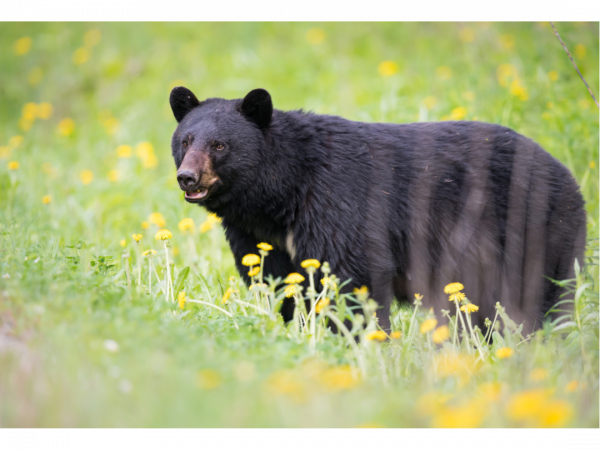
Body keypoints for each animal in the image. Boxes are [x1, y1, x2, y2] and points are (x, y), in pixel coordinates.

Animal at [169, 87, 584, 330]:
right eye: (186, 140)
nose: (187, 177)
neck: (281, 194)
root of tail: (569, 175)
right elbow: (281, 281)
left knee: (538, 298)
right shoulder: (256, 235)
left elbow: (355, 274)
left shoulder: (337, 202)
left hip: (534, 230)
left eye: (220, 145)